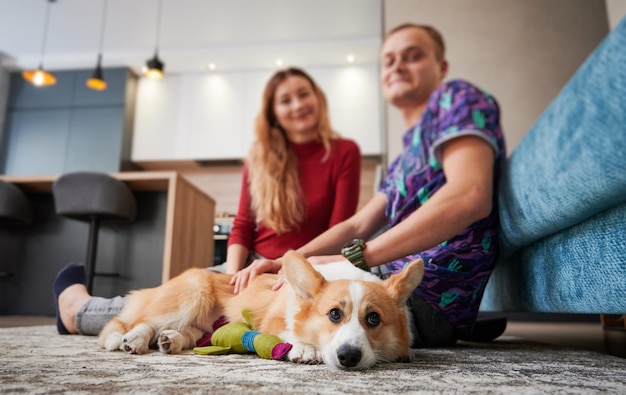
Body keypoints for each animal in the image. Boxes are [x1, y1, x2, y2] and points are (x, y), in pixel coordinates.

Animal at [97, 251, 424, 372]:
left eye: (373, 318)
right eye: (334, 314)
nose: (348, 357)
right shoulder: (271, 319)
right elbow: (288, 332)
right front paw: (304, 349)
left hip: (201, 323)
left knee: (188, 333)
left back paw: (171, 341)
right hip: (192, 295)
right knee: (141, 322)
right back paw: (134, 340)